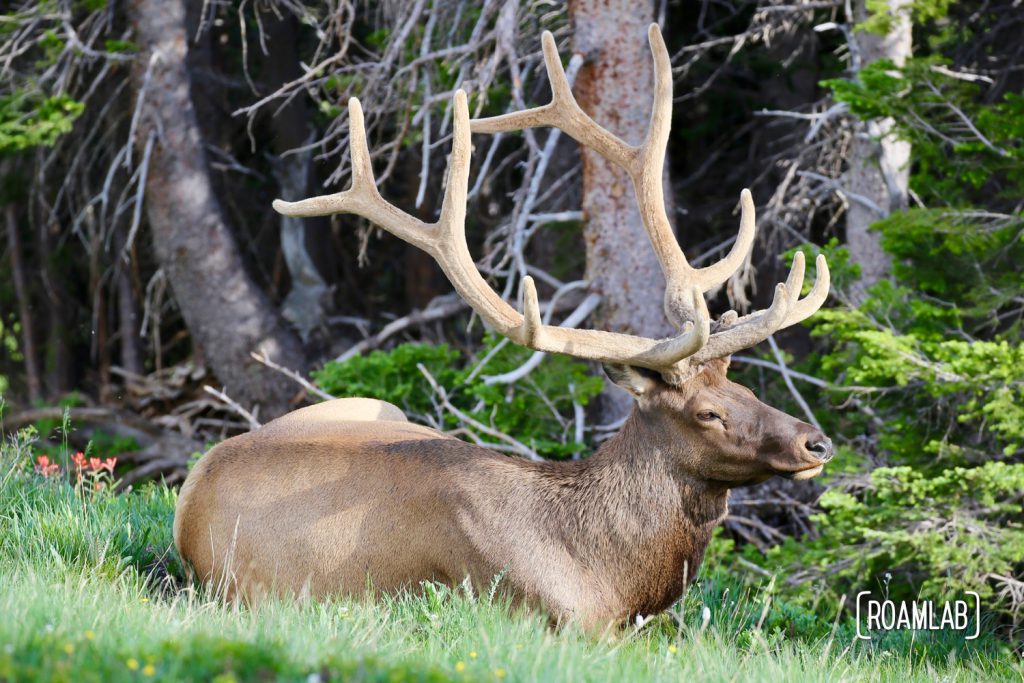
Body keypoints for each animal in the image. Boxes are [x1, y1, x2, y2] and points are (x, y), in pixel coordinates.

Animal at [176, 24, 831, 634]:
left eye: (744, 389)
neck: (607, 576)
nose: (816, 442)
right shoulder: (534, 612)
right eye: (708, 413)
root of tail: (194, 485)